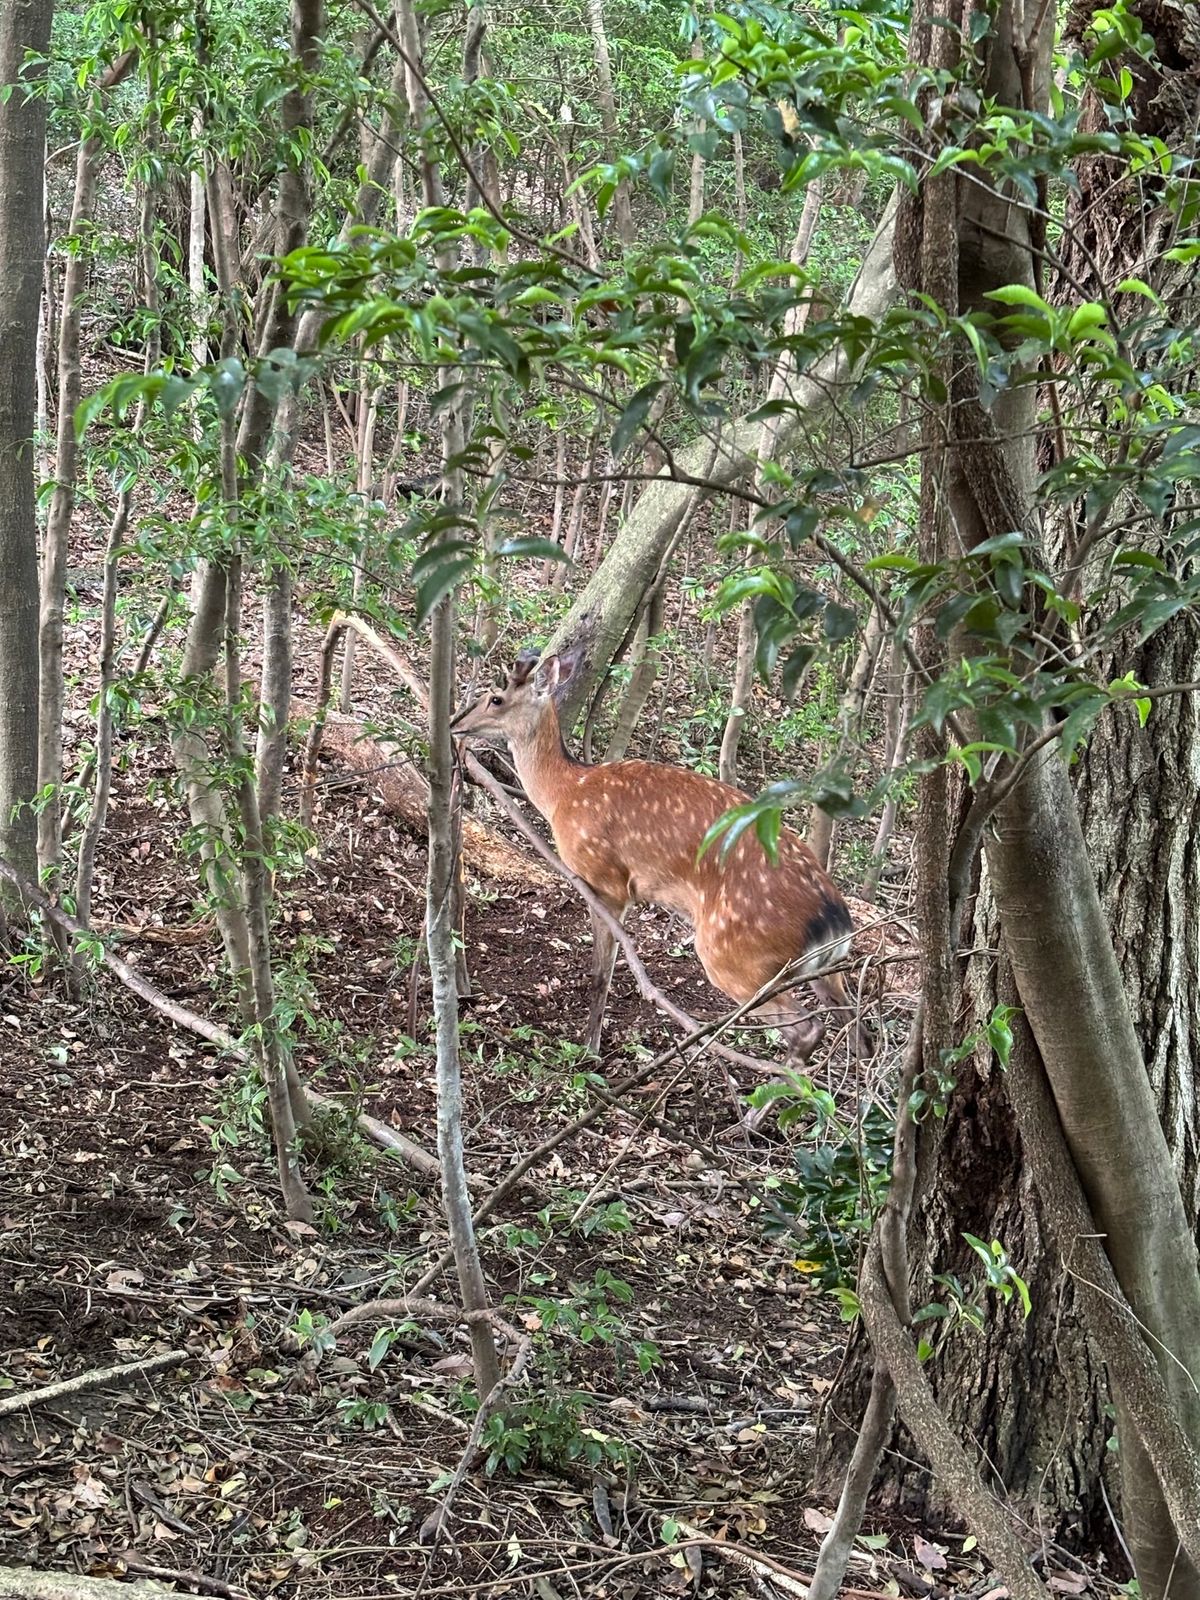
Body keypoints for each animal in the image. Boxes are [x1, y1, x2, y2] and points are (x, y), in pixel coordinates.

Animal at [451, 649, 876, 1075]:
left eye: (496, 698)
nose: (456, 726)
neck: (565, 792)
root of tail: (834, 920)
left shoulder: (605, 880)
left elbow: (601, 973)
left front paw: (590, 1051)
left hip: (735, 955)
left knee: (807, 1028)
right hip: (822, 971)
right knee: (860, 1032)